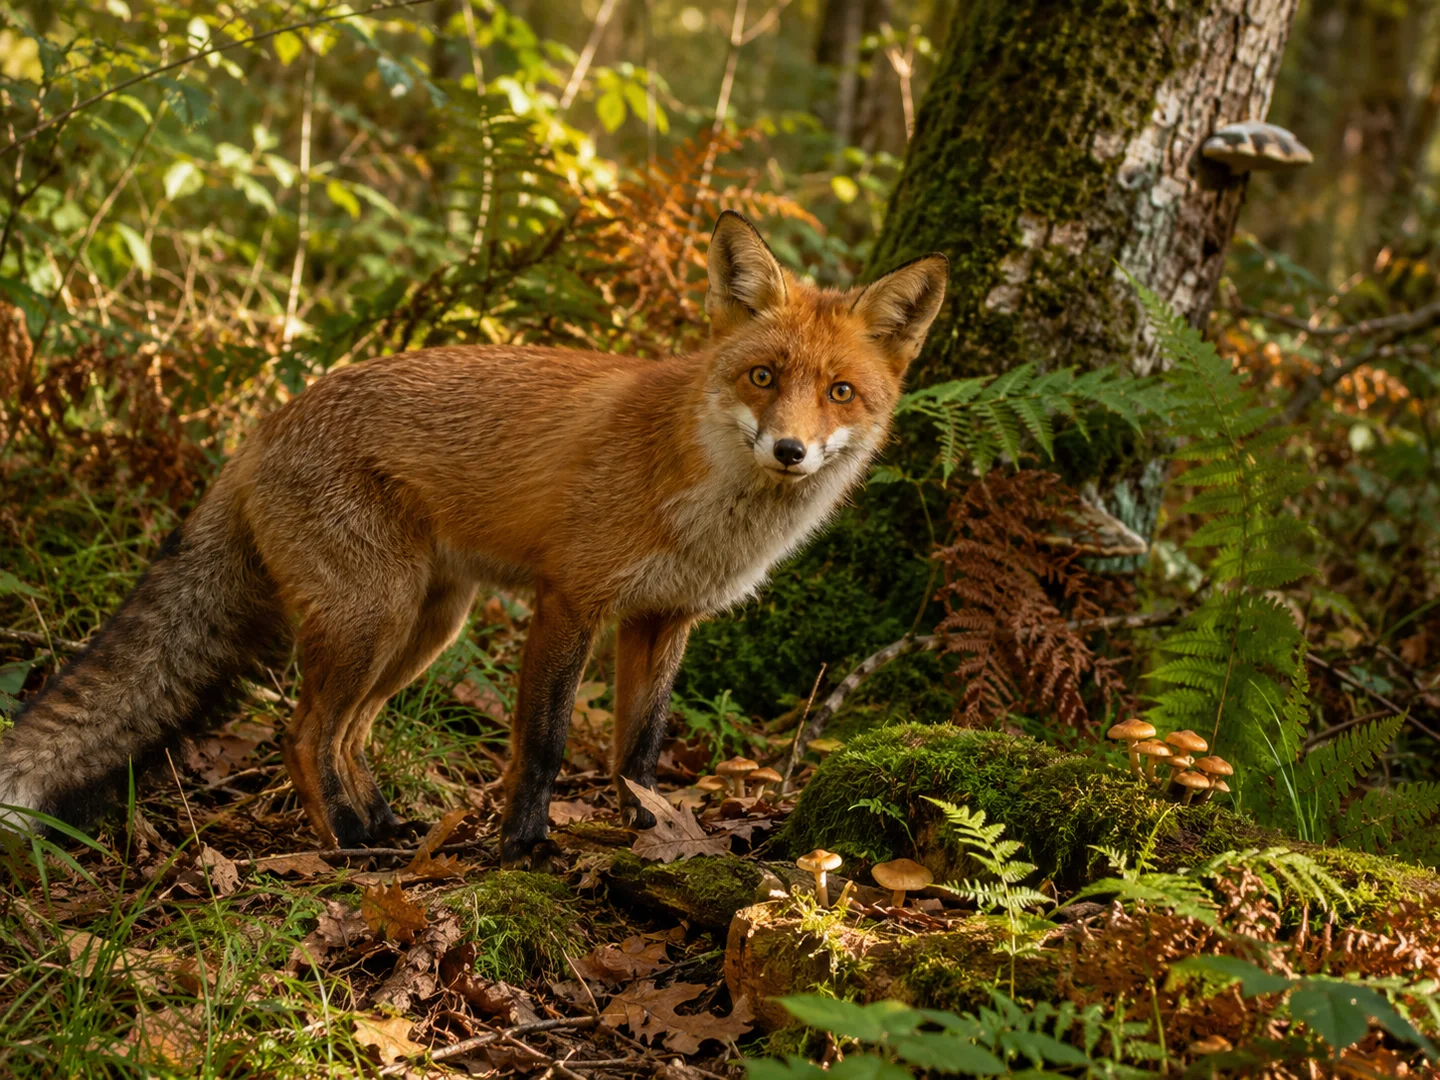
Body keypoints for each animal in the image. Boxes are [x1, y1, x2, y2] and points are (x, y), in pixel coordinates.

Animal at [0, 212, 947, 866]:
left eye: (839, 392)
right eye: (762, 376)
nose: (789, 450)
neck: (707, 501)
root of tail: (261, 427)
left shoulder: (663, 617)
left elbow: (640, 750)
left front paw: (652, 832)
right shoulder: (571, 600)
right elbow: (546, 743)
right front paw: (523, 845)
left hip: (425, 626)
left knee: (349, 734)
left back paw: (378, 821)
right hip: (373, 617)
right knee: (303, 734)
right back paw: (345, 843)